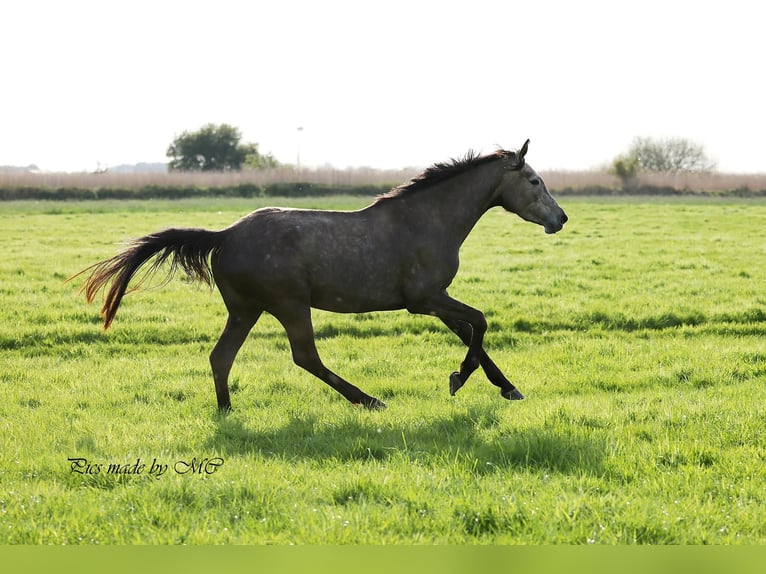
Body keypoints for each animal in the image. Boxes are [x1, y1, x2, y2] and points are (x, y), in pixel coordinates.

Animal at [74, 140, 567, 411]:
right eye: (534, 181)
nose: (560, 219)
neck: (430, 219)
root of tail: (224, 235)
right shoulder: (424, 299)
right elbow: (480, 322)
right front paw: (458, 379)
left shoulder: (436, 298)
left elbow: (472, 332)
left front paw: (507, 388)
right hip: (290, 304)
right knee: (304, 357)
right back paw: (369, 400)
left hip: (246, 309)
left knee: (221, 357)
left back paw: (227, 411)